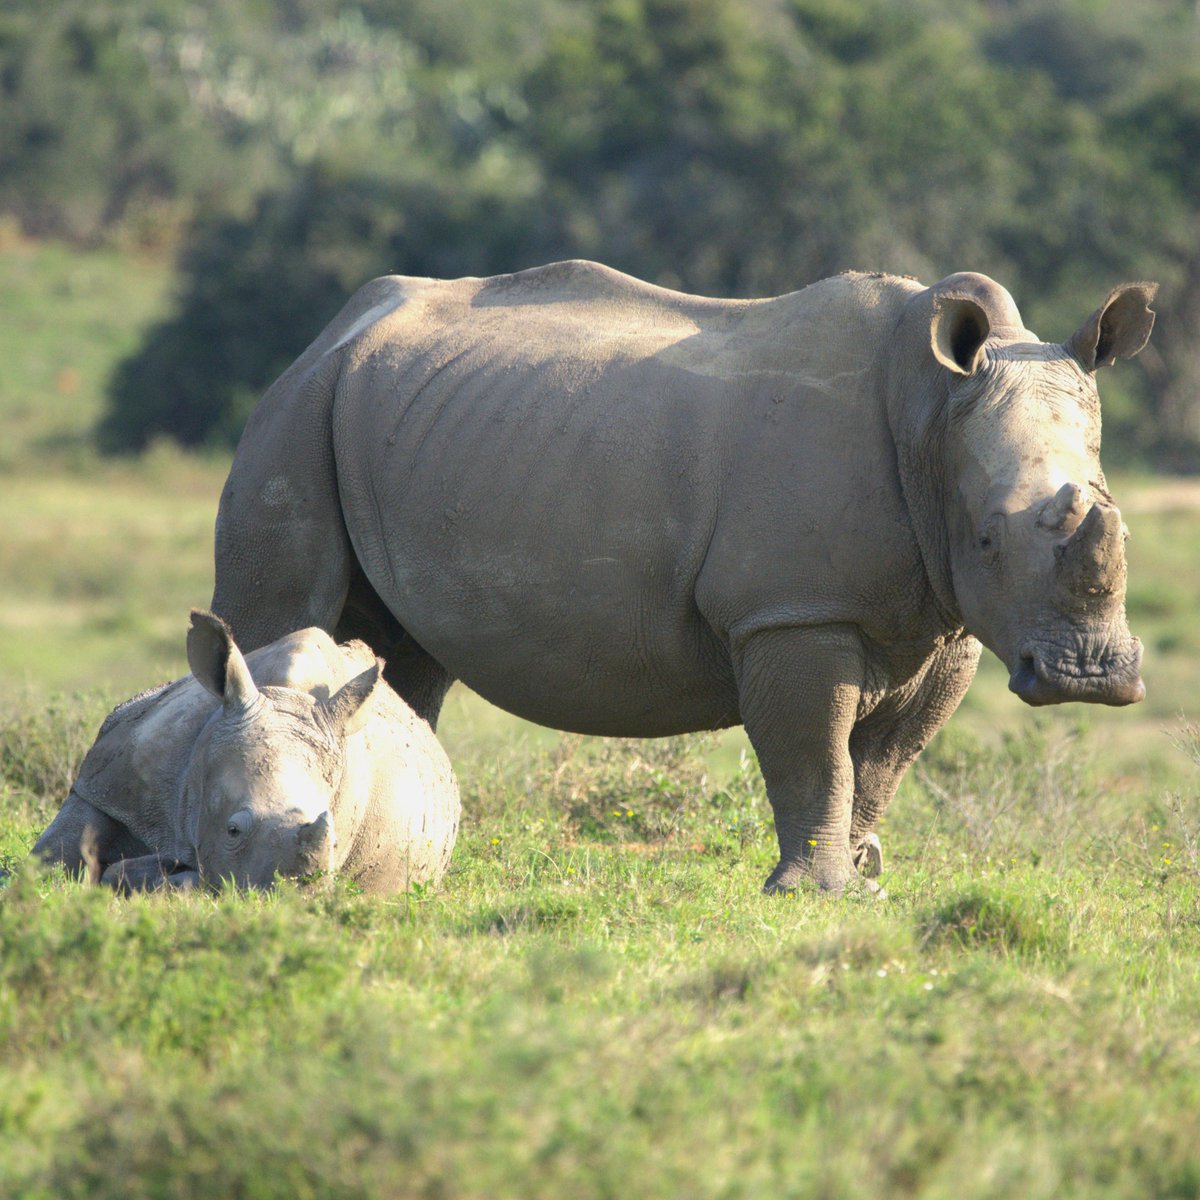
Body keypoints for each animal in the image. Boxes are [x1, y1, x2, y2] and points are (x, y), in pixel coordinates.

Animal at [33, 612, 460, 893]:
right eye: (233, 830)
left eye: (337, 844)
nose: (293, 899)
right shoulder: (115, 783)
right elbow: (53, 860)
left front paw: (147, 873)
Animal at [206, 261, 1155, 894]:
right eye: (989, 538)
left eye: (1115, 511)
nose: (1089, 677)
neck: (932, 414)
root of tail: (330, 333)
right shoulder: (790, 610)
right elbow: (815, 754)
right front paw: (812, 896)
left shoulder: (944, 617)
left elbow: (884, 763)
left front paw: (867, 886)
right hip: (297, 410)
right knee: (285, 615)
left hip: (402, 414)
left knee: (405, 659)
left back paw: (413, 865)